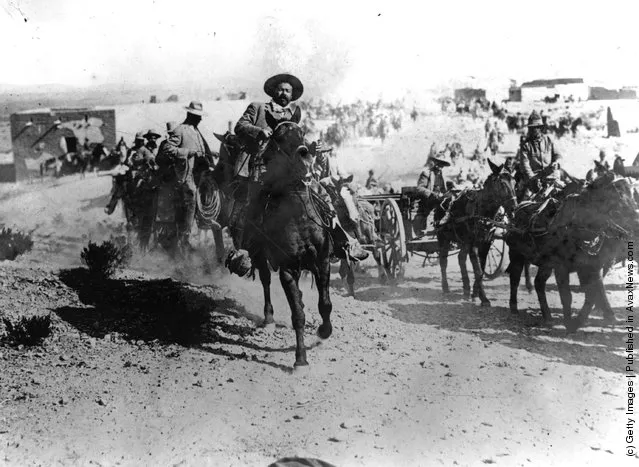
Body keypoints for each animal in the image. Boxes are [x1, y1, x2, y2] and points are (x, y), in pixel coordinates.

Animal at [438, 160, 524, 308]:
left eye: (514, 183)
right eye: (502, 184)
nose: (514, 209)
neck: (482, 211)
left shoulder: (485, 243)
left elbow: (482, 269)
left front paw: (475, 293)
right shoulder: (474, 245)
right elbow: (478, 270)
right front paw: (484, 298)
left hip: (464, 241)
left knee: (461, 258)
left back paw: (466, 289)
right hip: (443, 238)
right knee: (443, 261)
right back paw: (445, 288)